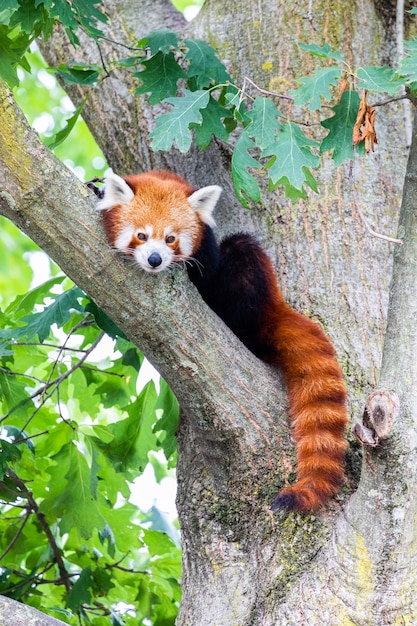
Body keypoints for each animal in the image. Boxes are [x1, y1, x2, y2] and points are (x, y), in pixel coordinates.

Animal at [97, 168, 348, 510]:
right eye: (142, 236)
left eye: (171, 238)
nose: (155, 260)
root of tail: (273, 306)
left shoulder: (208, 254)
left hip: (251, 290)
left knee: (243, 250)